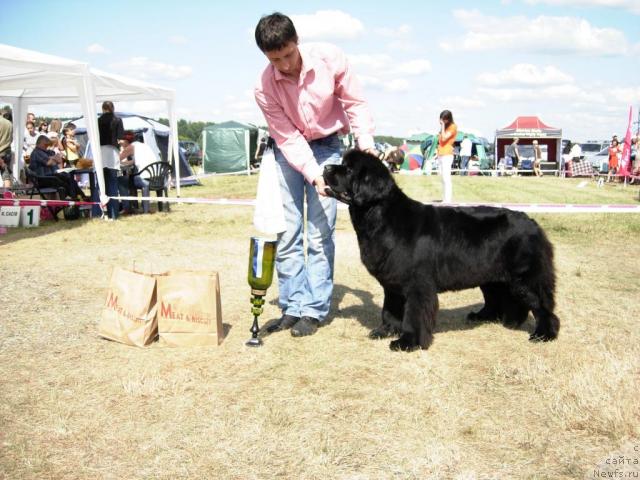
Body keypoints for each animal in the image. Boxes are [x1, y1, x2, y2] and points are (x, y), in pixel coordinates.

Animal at [324, 150, 560, 352]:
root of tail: (533, 224)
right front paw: (385, 331)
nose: (326, 167)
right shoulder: (392, 282)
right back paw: (488, 317)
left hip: (525, 278)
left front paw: (407, 342)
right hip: (491, 276)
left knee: (541, 305)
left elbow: (414, 314)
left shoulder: (418, 284)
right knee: (496, 298)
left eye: (349, 169)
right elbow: (389, 309)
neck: (379, 215)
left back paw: (544, 334)